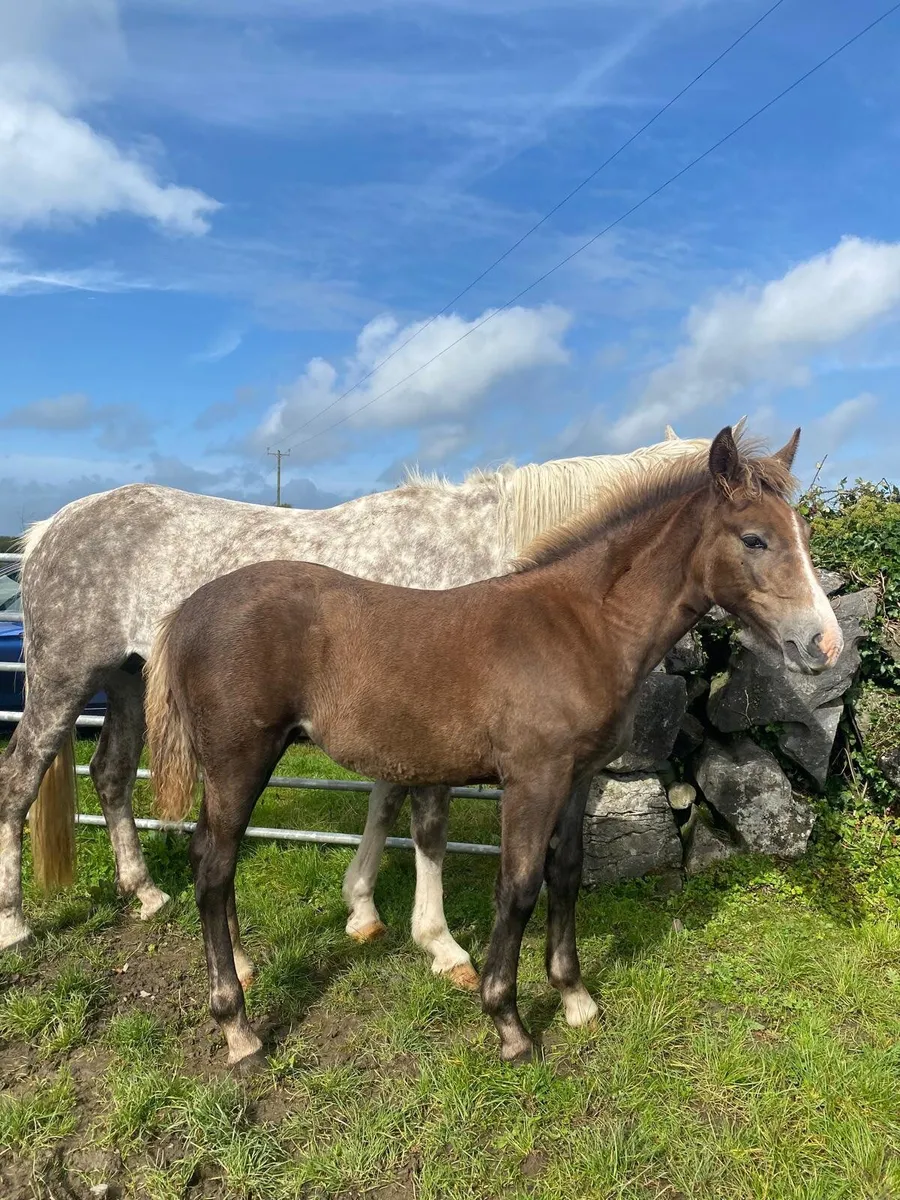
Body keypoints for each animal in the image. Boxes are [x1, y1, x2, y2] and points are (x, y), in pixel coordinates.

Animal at [0, 427, 715, 980]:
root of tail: (45, 531)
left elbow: (385, 804)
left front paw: (363, 909)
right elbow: (428, 828)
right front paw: (441, 944)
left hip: (123, 684)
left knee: (111, 774)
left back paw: (146, 893)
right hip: (63, 683)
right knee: (19, 780)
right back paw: (14, 924)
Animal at [144, 427, 842, 1067]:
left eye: (805, 534)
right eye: (754, 539)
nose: (824, 644)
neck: (582, 624)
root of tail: (185, 611)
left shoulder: (576, 777)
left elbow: (567, 874)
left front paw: (574, 997)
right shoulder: (532, 779)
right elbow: (520, 885)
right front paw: (509, 1023)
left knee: (213, 857)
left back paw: (242, 967)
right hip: (240, 759)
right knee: (213, 864)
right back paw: (238, 1028)